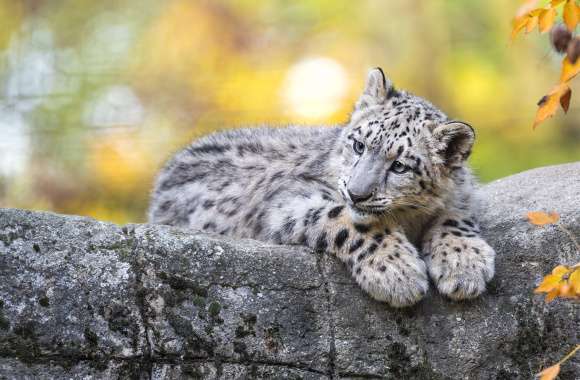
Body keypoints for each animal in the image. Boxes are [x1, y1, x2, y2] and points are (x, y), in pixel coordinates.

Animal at [148, 67, 494, 308]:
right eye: (358, 145)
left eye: (399, 166)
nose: (357, 193)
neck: (408, 216)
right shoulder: (287, 201)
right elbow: (347, 220)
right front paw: (399, 273)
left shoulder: (463, 194)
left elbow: (455, 216)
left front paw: (465, 265)